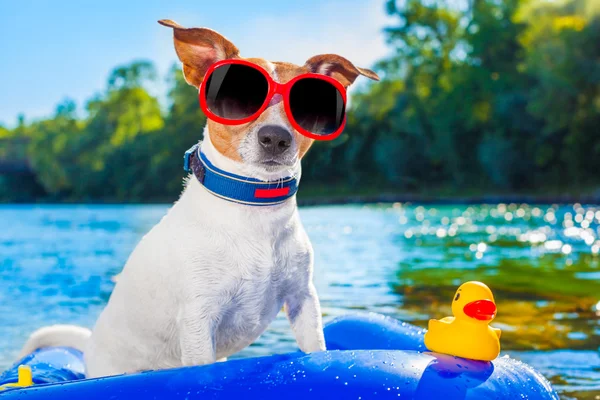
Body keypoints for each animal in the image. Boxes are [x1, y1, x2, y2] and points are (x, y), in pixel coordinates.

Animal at [18, 18, 380, 376]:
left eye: (307, 106)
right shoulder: (198, 320)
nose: (276, 138)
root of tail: (91, 344)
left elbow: (316, 349)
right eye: (240, 97)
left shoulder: (303, 300)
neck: (254, 205)